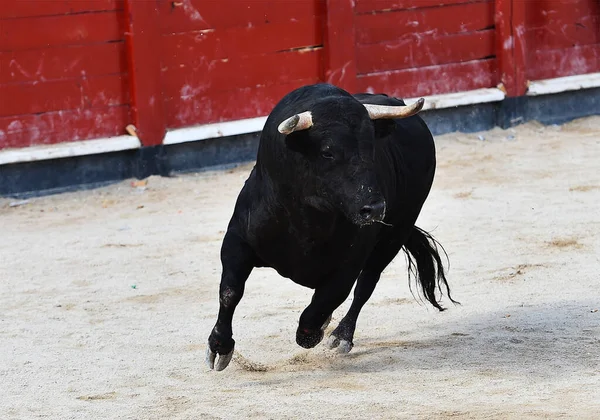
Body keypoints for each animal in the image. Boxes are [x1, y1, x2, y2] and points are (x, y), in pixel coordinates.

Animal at [205, 83, 454, 370]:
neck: (307, 217)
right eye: (327, 152)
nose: (375, 209)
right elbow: (230, 291)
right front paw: (219, 347)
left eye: (371, 148)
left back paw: (342, 335)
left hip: (396, 233)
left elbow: (324, 302)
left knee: (365, 285)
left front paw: (313, 334)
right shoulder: (238, 240)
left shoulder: (349, 264)